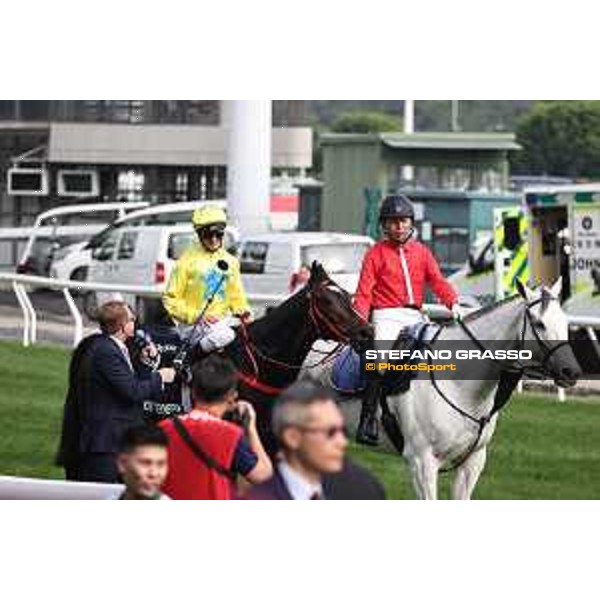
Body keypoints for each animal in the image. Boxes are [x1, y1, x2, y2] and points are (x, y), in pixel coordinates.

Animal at [304, 280, 580, 502]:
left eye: (565, 322)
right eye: (539, 324)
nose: (572, 372)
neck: (460, 386)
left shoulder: (472, 463)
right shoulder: (422, 462)